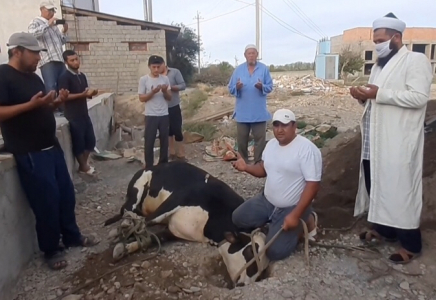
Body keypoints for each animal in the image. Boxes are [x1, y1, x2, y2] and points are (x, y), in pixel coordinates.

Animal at [104, 162, 270, 286]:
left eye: (263, 271)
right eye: (250, 252)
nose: (244, 284)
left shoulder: (174, 231)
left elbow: (152, 238)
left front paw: (126, 247)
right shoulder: (178, 199)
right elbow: (148, 221)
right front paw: (121, 242)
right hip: (138, 186)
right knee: (128, 209)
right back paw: (124, 225)